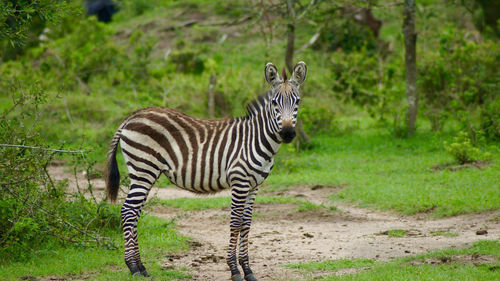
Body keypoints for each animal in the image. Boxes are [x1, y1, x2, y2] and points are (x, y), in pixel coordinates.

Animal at [105, 61, 306, 280]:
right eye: (274, 103)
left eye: (297, 102)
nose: (287, 133)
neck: (256, 139)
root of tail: (132, 116)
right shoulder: (239, 181)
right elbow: (235, 222)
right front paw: (234, 270)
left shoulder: (254, 186)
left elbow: (246, 224)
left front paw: (248, 270)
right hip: (143, 168)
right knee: (129, 210)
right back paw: (133, 267)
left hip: (146, 172)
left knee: (135, 211)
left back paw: (141, 267)